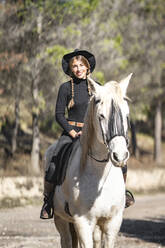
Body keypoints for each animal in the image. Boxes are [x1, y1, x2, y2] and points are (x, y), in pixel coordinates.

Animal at [49, 74, 131, 248]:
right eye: (101, 116)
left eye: (126, 115)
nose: (120, 156)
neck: (100, 177)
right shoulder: (83, 222)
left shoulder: (112, 222)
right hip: (61, 219)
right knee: (66, 240)